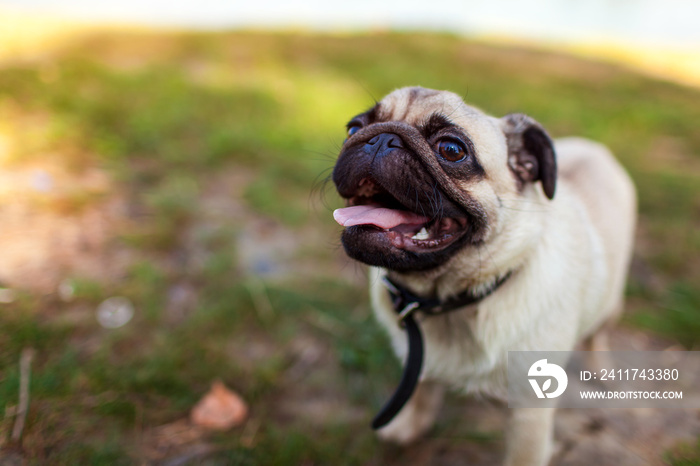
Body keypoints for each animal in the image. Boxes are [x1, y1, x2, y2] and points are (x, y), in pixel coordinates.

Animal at [330, 86, 636, 462]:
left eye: (451, 150)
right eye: (353, 129)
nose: (380, 138)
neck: (449, 300)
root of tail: (597, 150)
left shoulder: (529, 416)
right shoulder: (421, 359)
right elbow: (422, 388)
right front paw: (410, 425)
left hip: (611, 302)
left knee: (599, 334)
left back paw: (601, 369)